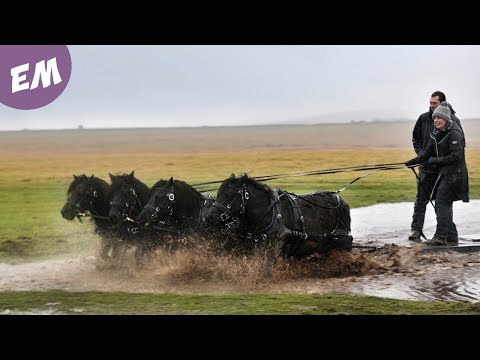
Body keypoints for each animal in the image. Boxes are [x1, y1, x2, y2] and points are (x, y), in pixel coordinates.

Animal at [203, 173, 352, 258]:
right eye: (218, 193)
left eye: (230, 195)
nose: (209, 216)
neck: (266, 213)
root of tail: (341, 201)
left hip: (342, 242)